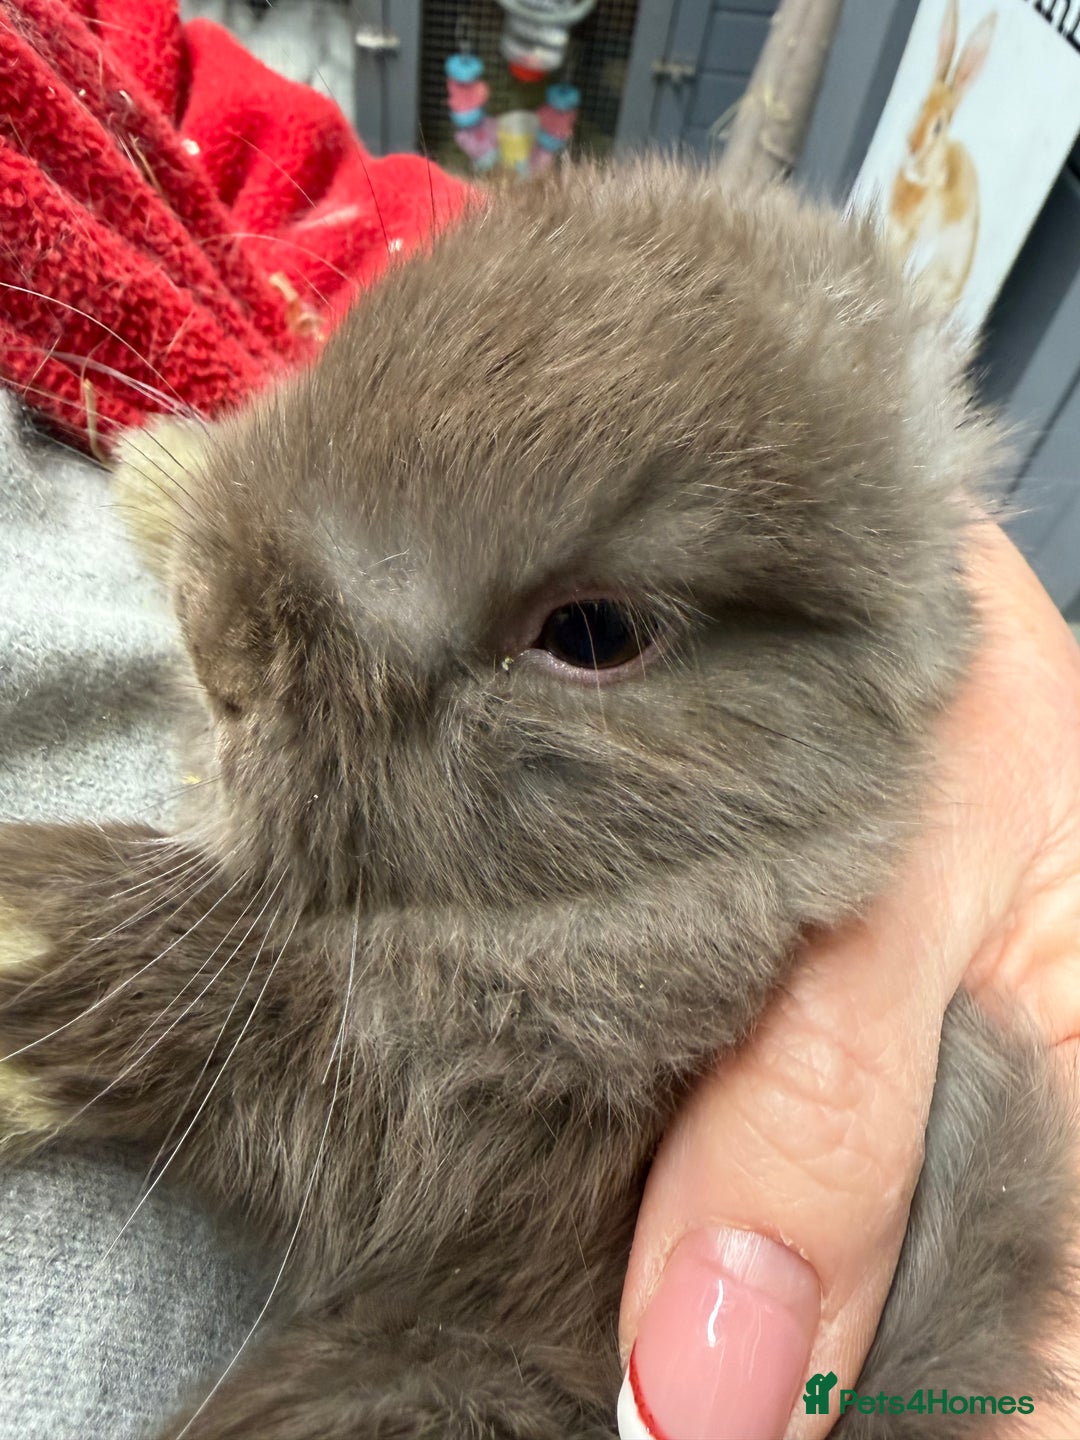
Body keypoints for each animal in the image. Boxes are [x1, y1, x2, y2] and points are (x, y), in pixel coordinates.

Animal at [0, 156, 1075, 1440]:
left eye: (593, 634)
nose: (219, 655)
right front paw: (164, 470)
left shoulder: (493, 1109)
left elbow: (283, 1027)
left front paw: (26, 936)